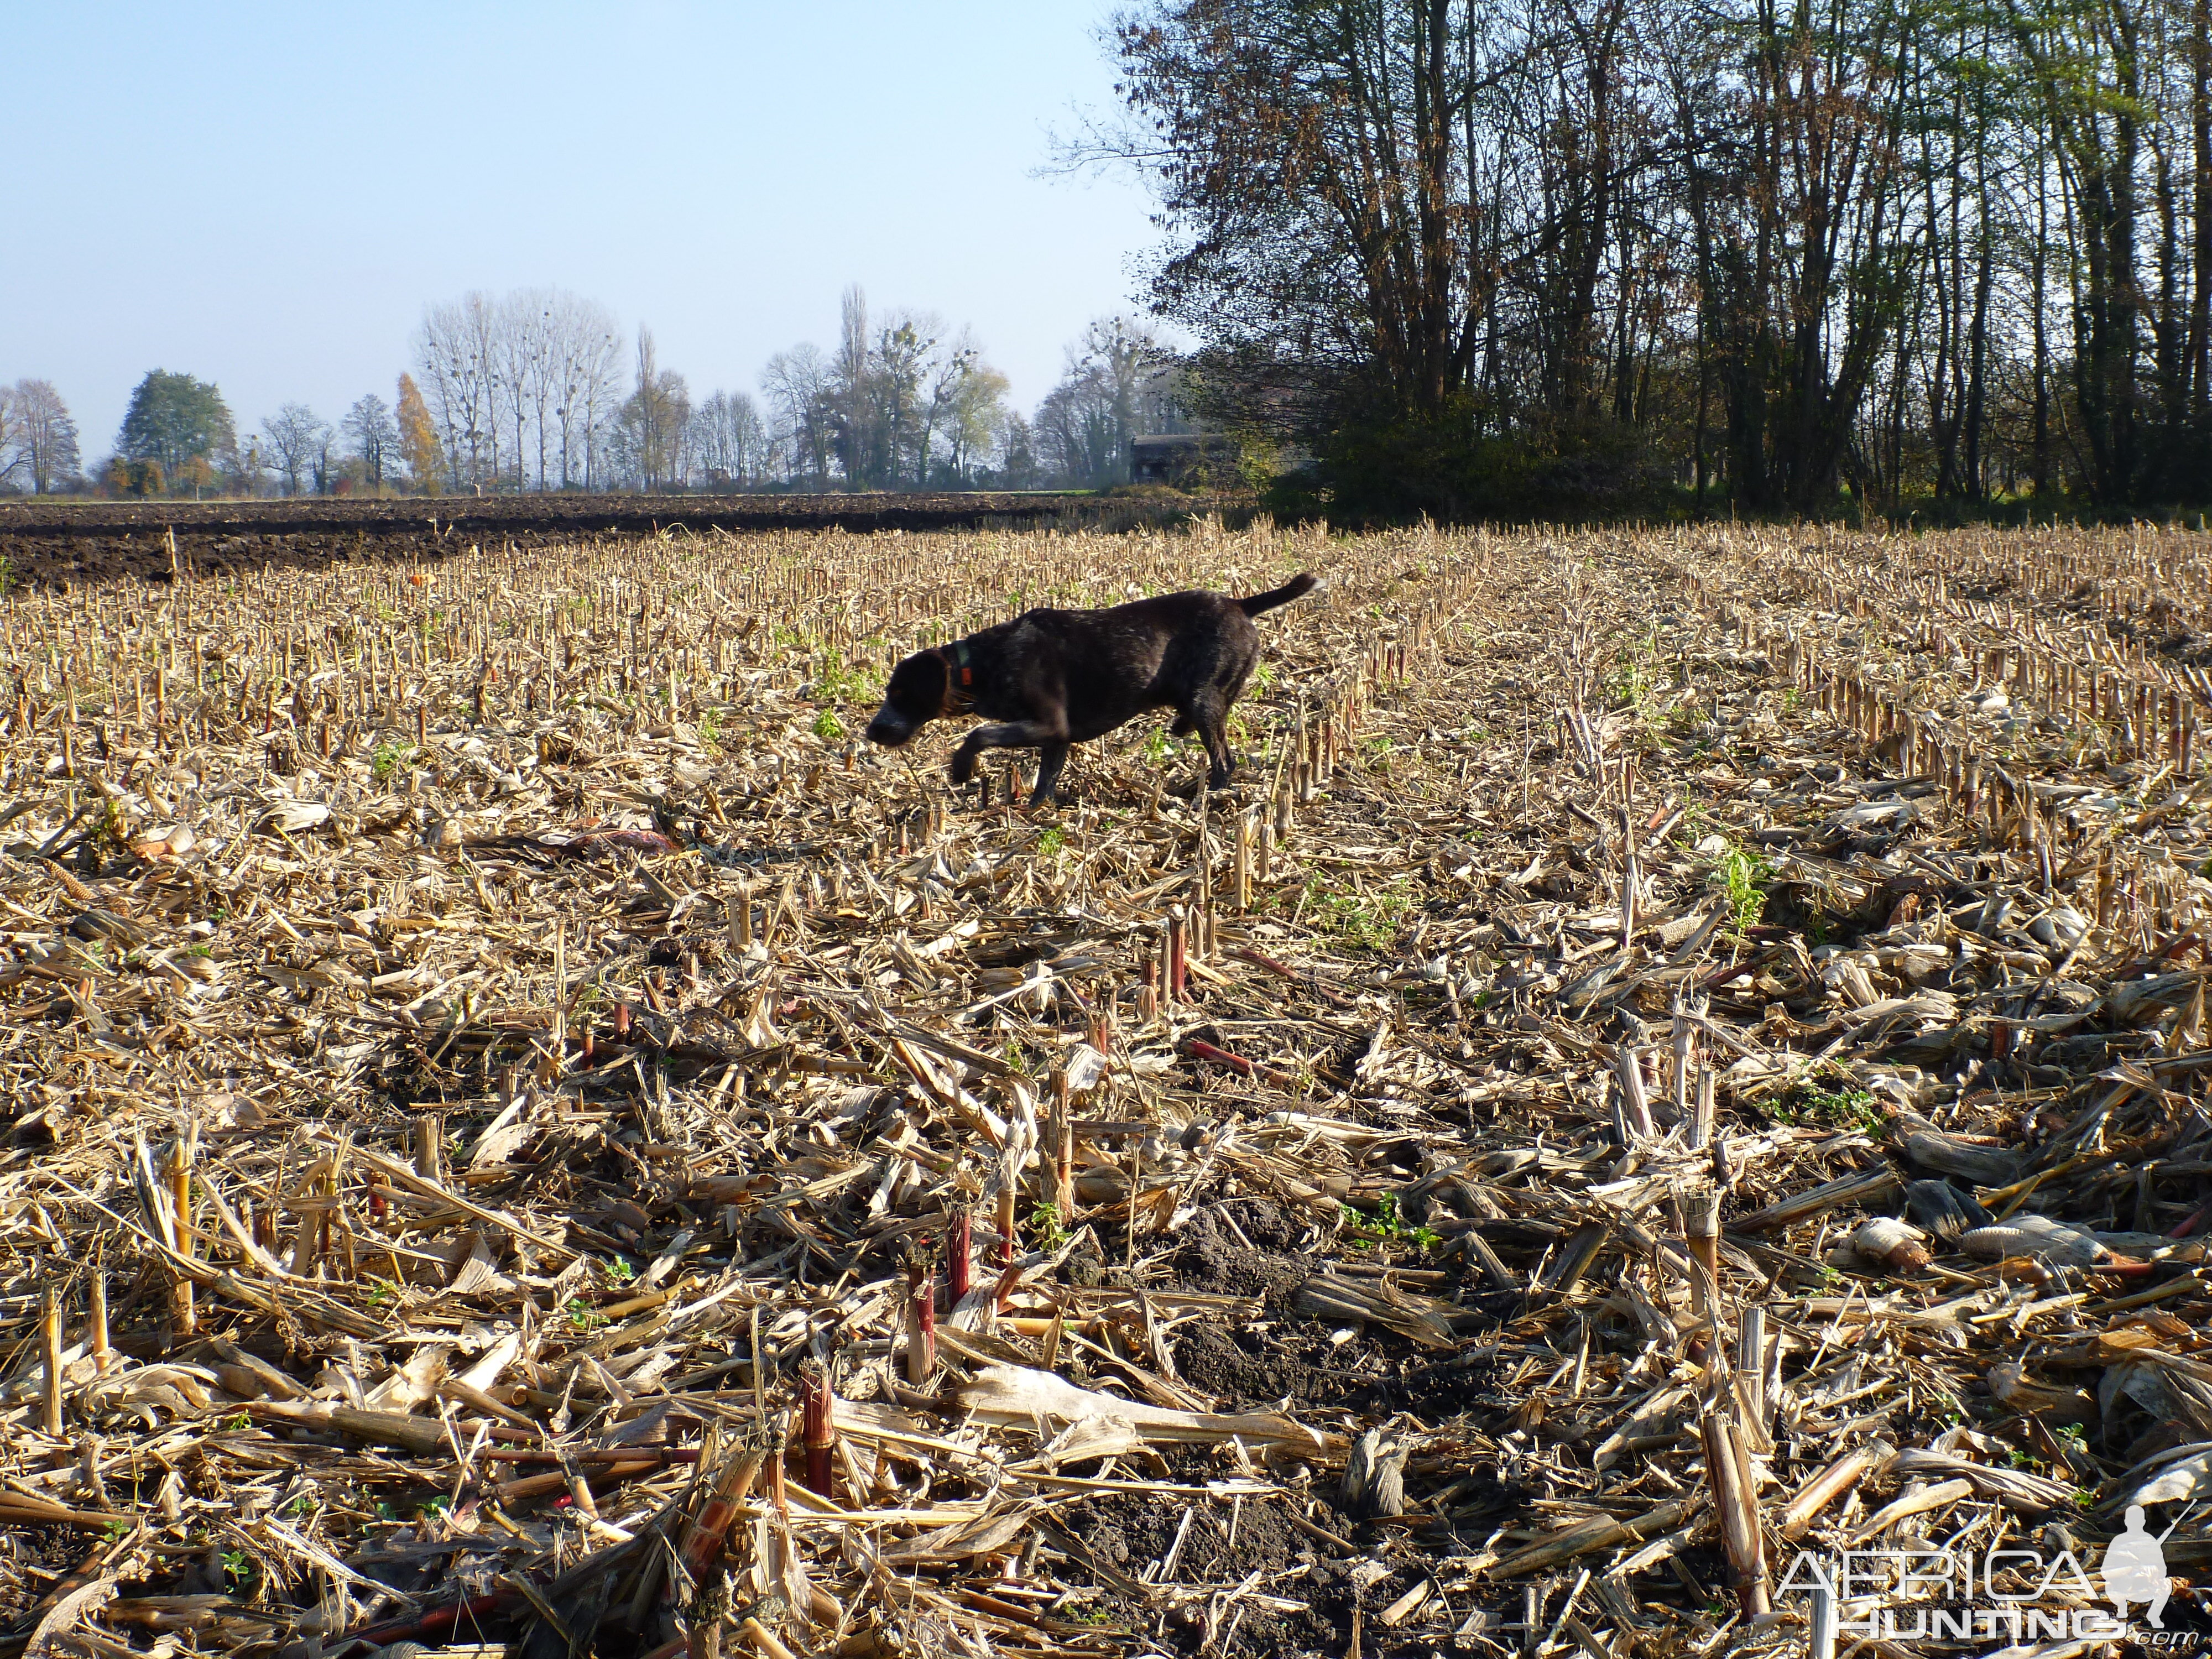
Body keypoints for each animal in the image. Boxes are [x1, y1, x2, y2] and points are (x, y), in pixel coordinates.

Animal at [863, 575, 1310, 810]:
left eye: (901, 694)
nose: (872, 731)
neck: (986, 662)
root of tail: (1239, 605)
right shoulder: (1055, 738)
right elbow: (1044, 781)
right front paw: (1035, 811)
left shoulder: (1048, 723)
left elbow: (978, 734)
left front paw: (961, 769)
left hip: (1205, 701)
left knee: (1223, 761)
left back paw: (1203, 802)